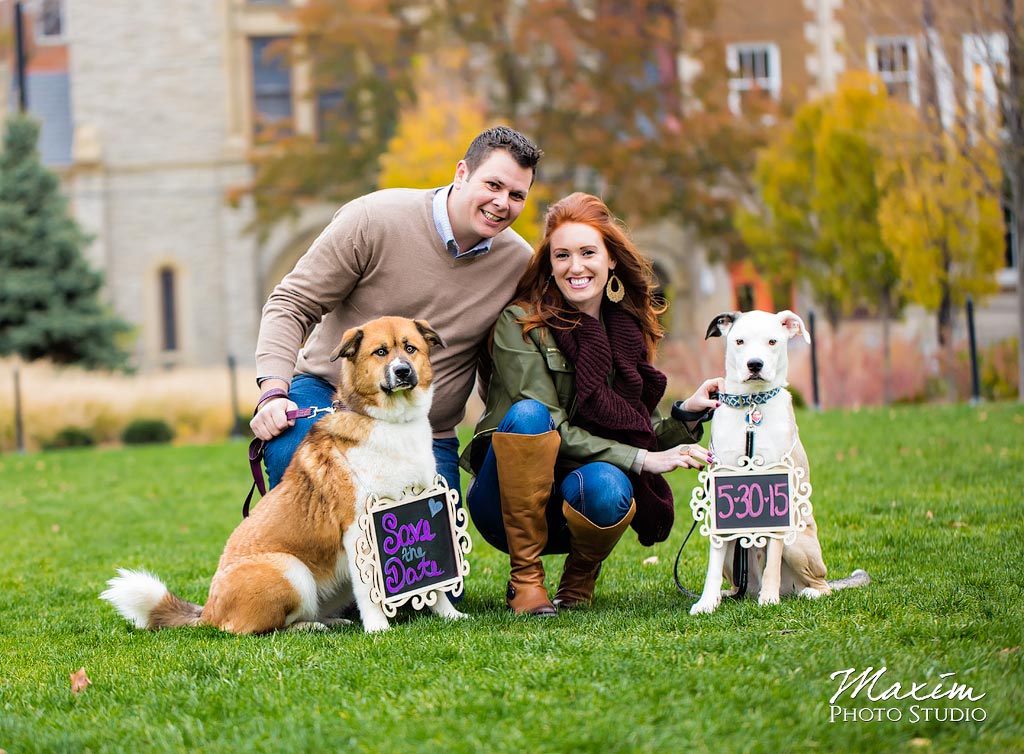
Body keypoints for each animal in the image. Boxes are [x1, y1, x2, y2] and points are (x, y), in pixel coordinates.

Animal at [97, 315, 466, 635]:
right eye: (380, 352)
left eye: (410, 348)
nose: (402, 371)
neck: (390, 422)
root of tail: (209, 612)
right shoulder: (359, 528)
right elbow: (369, 590)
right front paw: (378, 629)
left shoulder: (422, 503)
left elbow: (437, 582)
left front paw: (449, 614)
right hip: (290, 569)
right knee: (257, 630)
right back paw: (310, 627)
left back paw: (330, 621)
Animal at [688, 309, 872, 614]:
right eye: (739, 341)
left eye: (772, 341)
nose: (755, 364)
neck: (752, 407)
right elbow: (713, 564)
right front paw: (706, 602)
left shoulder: (777, 491)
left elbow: (773, 559)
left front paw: (769, 599)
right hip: (735, 555)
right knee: (738, 583)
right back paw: (730, 594)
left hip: (798, 544)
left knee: (820, 586)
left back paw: (800, 593)